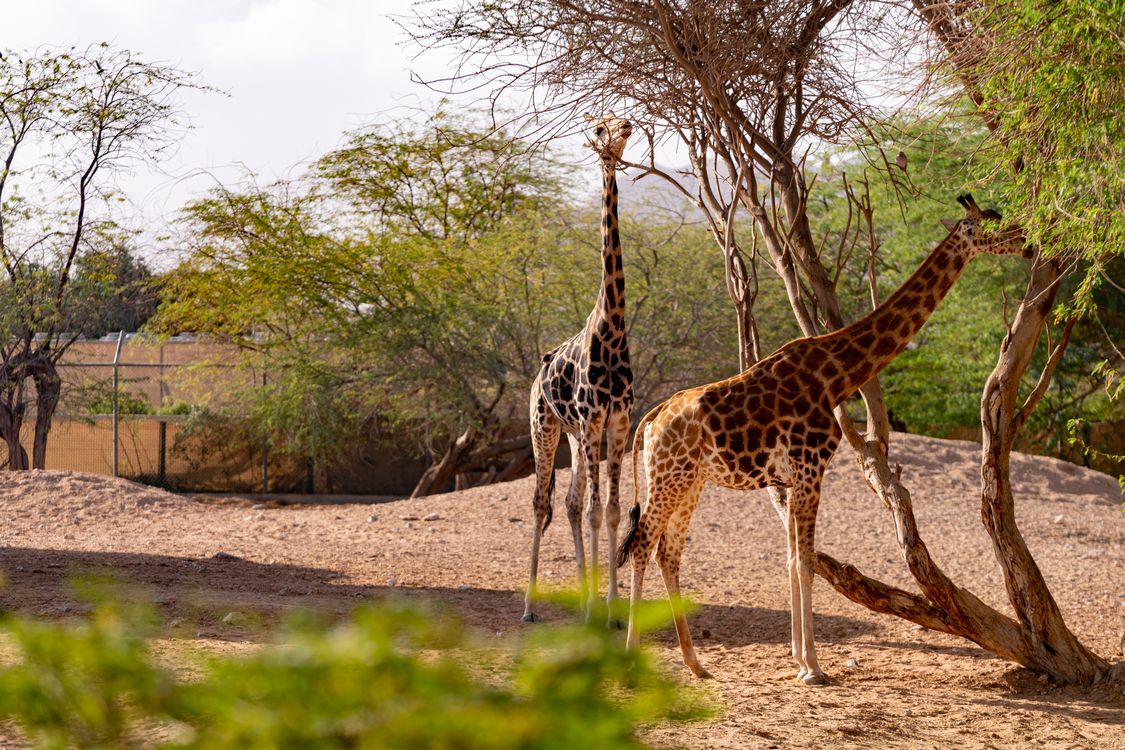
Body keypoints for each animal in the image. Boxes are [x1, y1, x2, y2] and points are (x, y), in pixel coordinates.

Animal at [616, 194, 1031, 683]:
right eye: (994, 226)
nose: (1029, 243)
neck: (836, 375)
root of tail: (651, 419)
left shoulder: (793, 477)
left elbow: (793, 560)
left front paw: (799, 659)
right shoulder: (811, 467)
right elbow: (807, 562)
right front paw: (813, 666)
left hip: (690, 480)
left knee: (669, 550)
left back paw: (695, 664)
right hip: (671, 475)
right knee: (642, 542)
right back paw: (631, 659)